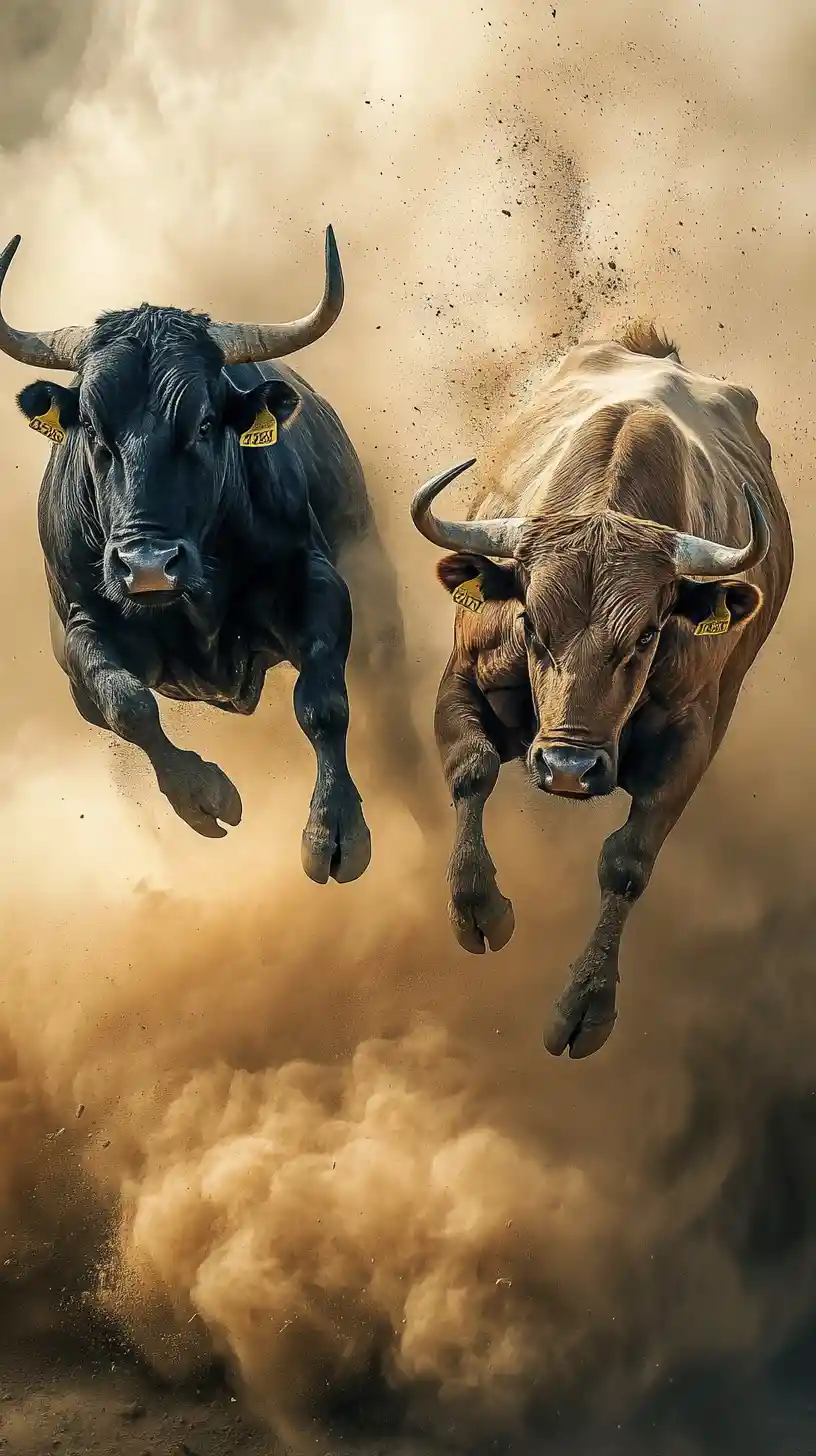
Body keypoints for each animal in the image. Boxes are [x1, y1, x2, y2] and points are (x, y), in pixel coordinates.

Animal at [1, 227, 429, 883]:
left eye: (203, 424)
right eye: (93, 430)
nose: (148, 566)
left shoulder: (318, 587)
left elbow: (322, 703)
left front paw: (335, 830)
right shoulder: (80, 630)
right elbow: (127, 705)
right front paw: (202, 795)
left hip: (380, 614)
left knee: (397, 732)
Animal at [410, 323, 793, 1058]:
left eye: (644, 637)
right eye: (531, 623)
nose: (568, 767)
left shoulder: (690, 742)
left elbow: (626, 861)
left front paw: (587, 1004)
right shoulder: (464, 673)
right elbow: (471, 768)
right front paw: (480, 910)